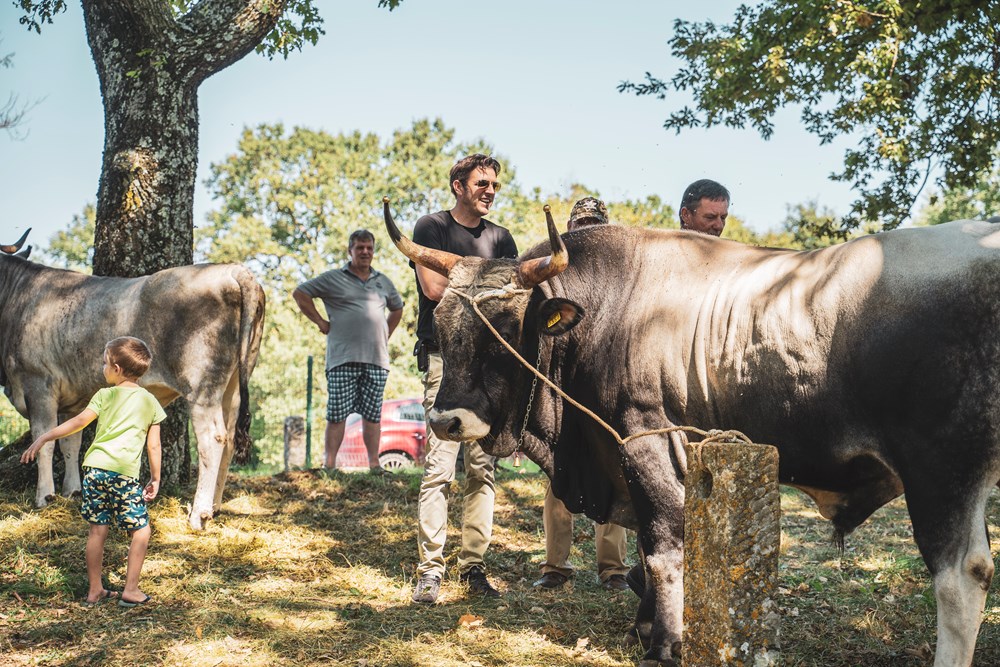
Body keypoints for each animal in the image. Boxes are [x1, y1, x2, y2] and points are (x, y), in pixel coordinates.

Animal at [0, 235, 266, 532]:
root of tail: (232, 269)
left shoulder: (38, 384)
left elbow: (43, 441)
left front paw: (44, 496)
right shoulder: (71, 400)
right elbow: (70, 443)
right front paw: (72, 491)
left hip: (202, 385)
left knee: (212, 439)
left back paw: (199, 513)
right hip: (234, 382)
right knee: (230, 438)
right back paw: (215, 506)